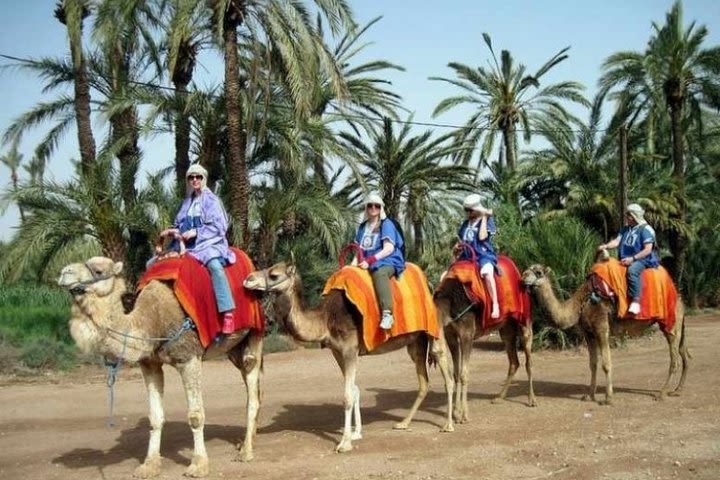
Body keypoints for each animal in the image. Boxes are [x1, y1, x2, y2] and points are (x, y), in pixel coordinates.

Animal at [58, 256, 262, 478]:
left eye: (98, 271)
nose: (64, 272)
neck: (149, 322)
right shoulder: (149, 364)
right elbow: (155, 417)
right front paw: (149, 466)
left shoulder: (188, 357)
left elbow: (195, 415)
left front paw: (198, 465)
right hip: (233, 348)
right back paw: (247, 441)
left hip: (255, 331)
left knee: (252, 382)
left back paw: (246, 451)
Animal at [245, 260, 452, 452]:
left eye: (274, 275)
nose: (248, 279)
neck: (325, 319)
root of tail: (429, 284)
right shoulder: (337, 351)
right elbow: (354, 390)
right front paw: (356, 433)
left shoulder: (350, 350)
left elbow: (347, 396)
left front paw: (344, 443)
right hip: (415, 342)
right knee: (424, 381)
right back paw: (404, 423)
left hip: (433, 329)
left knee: (445, 371)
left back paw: (448, 425)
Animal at [434, 262, 536, 424]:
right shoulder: (451, 335)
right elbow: (456, 373)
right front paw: (456, 413)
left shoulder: (467, 334)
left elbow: (463, 374)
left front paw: (464, 415)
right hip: (506, 328)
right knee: (514, 361)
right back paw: (499, 397)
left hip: (524, 321)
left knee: (528, 360)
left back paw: (532, 399)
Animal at [520, 264, 688, 404]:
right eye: (527, 269)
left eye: (538, 272)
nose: (523, 276)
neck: (582, 304)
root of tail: (679, 298)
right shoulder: (588, 333)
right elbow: (592, 364)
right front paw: (589, 395)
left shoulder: (601, 328)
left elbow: (606, 364)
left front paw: (608, 397)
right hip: (677, 324)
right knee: (683, 352)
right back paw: (677, 390)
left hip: (670, 323)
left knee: (674, 359)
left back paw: (662, 393)